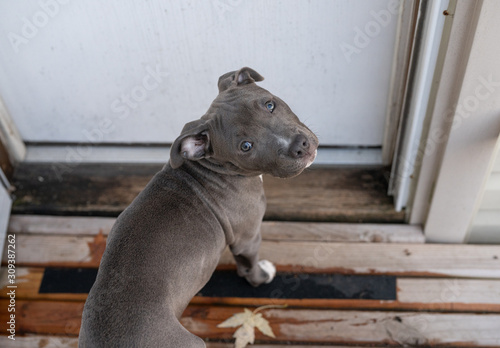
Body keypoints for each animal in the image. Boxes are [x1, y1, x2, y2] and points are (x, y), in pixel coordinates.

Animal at [79, 66, 318, 346]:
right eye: (246, 146)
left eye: (270, 105)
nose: (300, 146)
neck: (212, 168)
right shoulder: (247, 238)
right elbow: (249, 267)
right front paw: (262, 275)